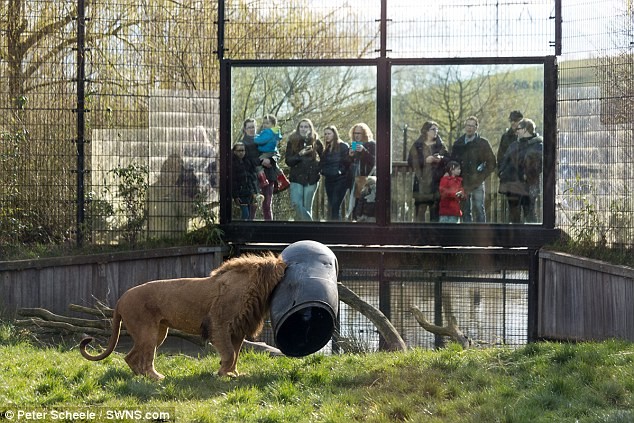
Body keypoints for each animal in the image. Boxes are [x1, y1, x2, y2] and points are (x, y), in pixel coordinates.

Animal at [78, 252, 284, 380]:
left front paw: (233, 374)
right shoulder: (219, 324)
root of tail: (120, 299)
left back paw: (142, 376)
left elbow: (235, 354)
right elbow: (230, 353)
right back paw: (155, 378)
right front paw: (222, 373)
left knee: (131, 357)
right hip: (148, 332)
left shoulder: (238, 330)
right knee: (144, 358)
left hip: (158, 333)